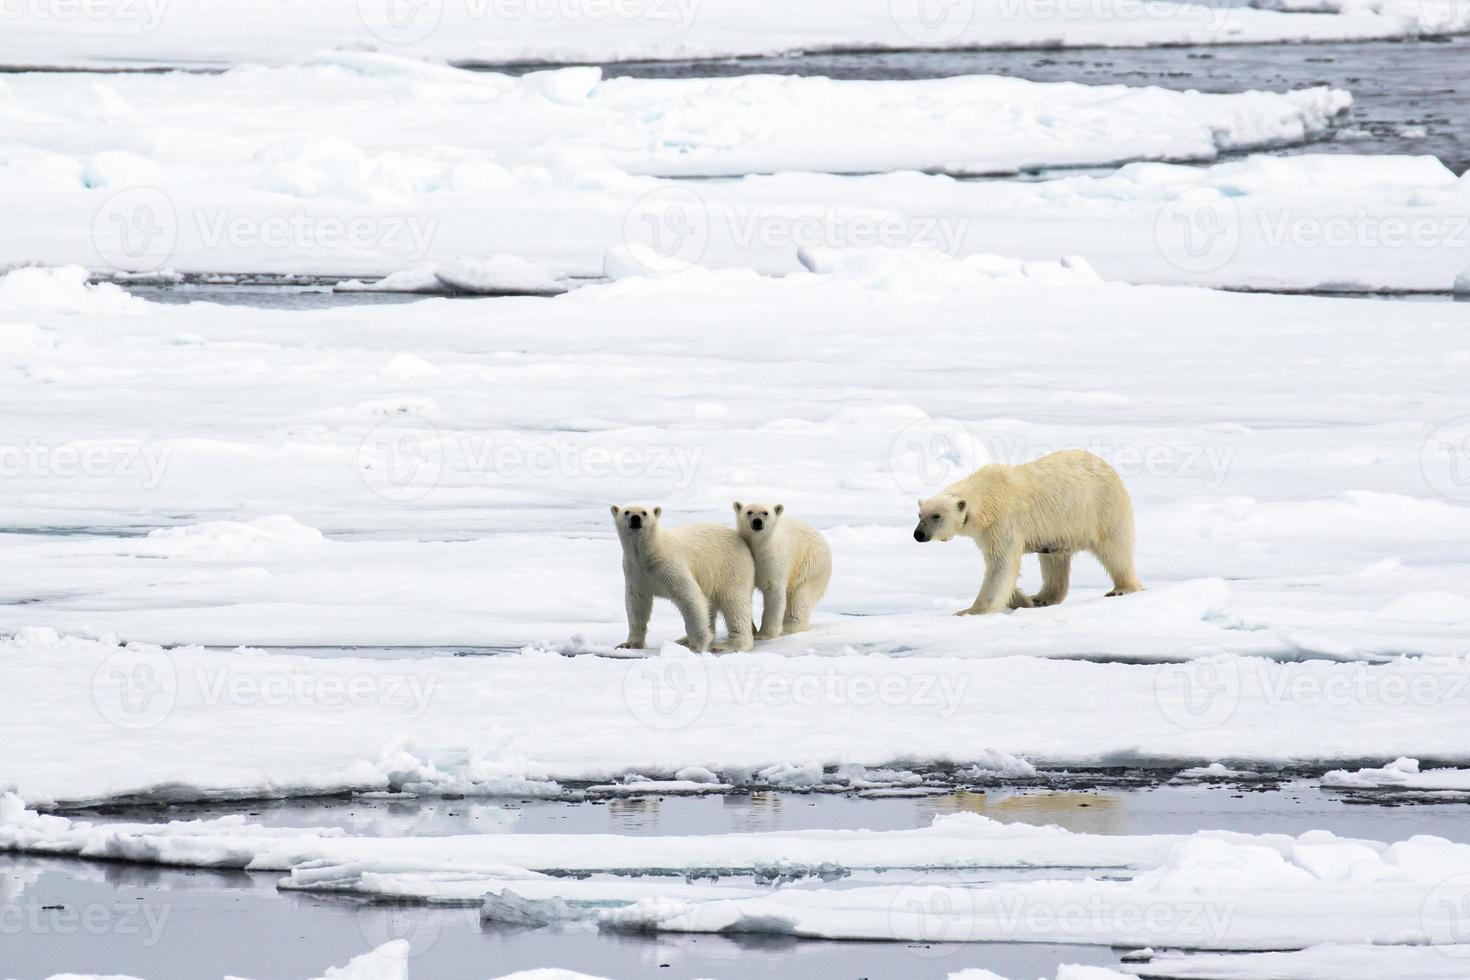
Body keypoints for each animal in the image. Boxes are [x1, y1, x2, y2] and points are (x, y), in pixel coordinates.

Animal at [911, 449, 1140, 617]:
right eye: (919, 515)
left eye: (936, 516)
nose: (918, 535)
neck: (987, 497)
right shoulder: (986, 532)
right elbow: (1001, 568)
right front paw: (1022, 599)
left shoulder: (1003, 523)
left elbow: (1001, 566)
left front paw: (970, 611)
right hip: (1057, 529)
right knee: (1054, 558)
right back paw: (1042, 597)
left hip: (1102, 507)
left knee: (1115, 549)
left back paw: (1122, 588)